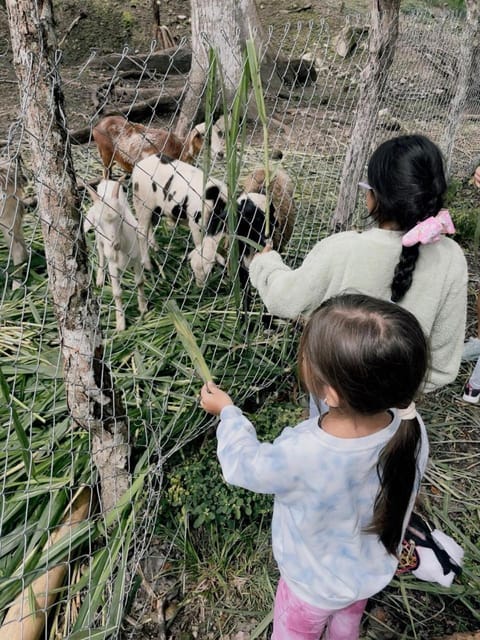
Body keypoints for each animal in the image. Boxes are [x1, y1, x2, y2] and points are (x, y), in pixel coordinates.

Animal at [83, 179, 146, 332]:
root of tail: (105, 180)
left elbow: (139, 281)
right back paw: (100, 279)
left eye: (121, 217)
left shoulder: (136, 258)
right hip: (99, 238)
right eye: (99, 221)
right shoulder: (112, 265)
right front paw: (120, 324)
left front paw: (142, 308)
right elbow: (117, 293)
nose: (114, 245)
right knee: (100, 252)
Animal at [93, 115, 226, 179]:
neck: (179, 148)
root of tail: (98, 125)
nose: (221, 154)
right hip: (106, 153)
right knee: (105, 173)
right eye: (203, 135)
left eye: (218, 134)